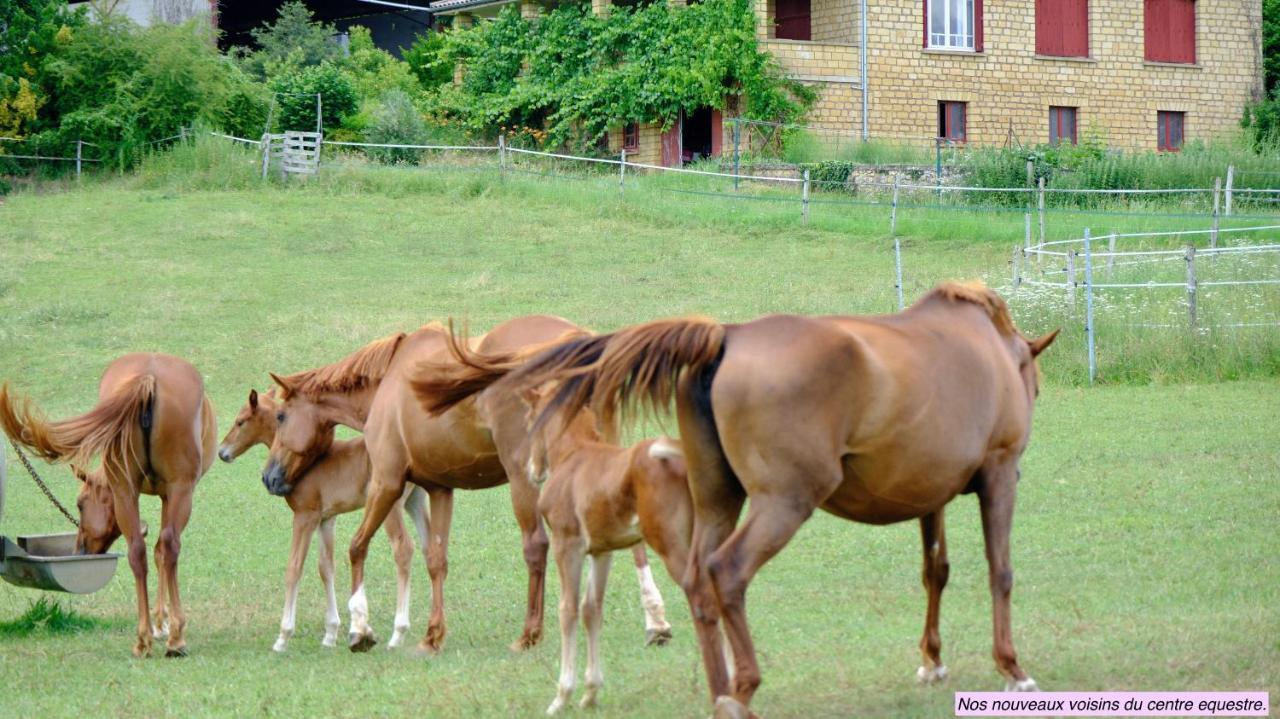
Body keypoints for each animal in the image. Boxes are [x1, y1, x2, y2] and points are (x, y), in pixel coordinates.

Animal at [0, 353, 215, 655]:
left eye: (80, 504)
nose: (79, 550)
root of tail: (149, 377)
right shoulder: (170, 495)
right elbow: (161, 552)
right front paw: (163, 623)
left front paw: (156, 624)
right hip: (179, 490)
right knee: (169, 546)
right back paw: (175, 638)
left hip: (125, 489)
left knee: (137, 552)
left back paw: (143, 639)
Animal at [212, 386, 427, 649]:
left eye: (240, 421)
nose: (222, 452)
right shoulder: (327, 519)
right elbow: (326, 568)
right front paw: (330, 634)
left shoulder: (305, 516)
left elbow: (294, 568)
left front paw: (283, 637)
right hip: (415, 502)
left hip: (391, 507)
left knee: (403, 548)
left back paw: (398, 633)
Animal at [266, 316, 675, 652]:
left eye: (282, 416)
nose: (269, 477)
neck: (390, 382)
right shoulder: (439, 490)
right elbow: (436, 560)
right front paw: (432, 635)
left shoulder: (386, 483)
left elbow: (357, 547)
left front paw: (360, 629)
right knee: (631, 539)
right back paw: (655, 621)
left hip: (525, 478)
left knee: (537, 546)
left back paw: (530, 634)